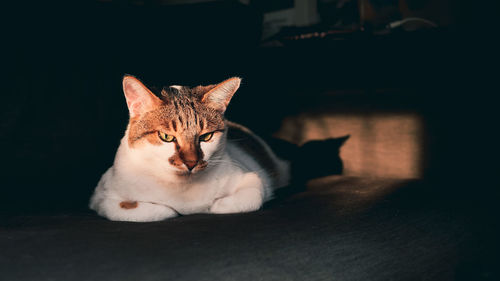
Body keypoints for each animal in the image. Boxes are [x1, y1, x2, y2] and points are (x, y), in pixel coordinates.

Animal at [89, 75, 290, 222]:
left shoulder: (252, 178)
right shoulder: (102, 197)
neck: (182, 187)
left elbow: (252, 196)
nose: (191, 162)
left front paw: (213, 206)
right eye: (166, 137)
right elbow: (153, 210)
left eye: (205, 137)